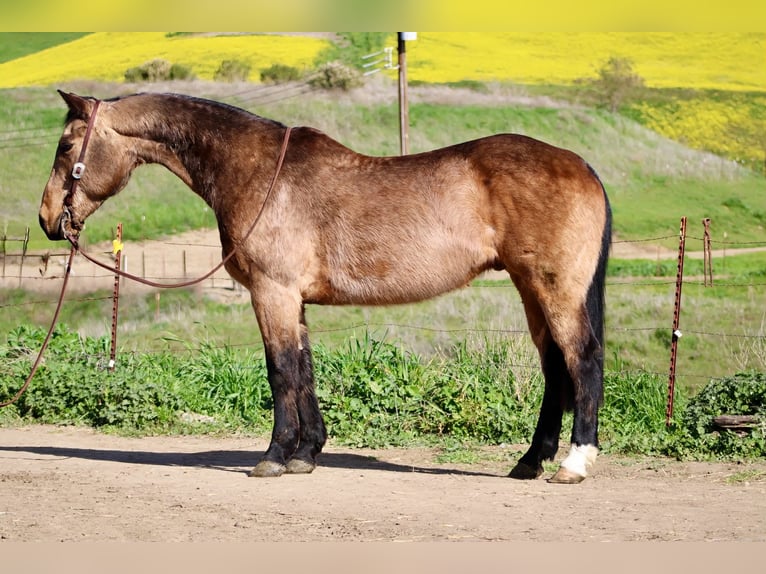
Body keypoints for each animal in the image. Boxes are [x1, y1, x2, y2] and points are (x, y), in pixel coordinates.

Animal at [39, 90, 611, 484]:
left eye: (66, 145)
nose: (48, 220)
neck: (257, 171)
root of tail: (581, 164)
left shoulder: (271, 292)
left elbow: (280, 371)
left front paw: (273, 458)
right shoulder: (293, 300)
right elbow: (305, 371)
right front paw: (306, 454)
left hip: (554, 289)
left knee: (582, 359)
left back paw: (574, 463)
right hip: (531, 290)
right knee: (555, 368)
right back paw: (529, 463)